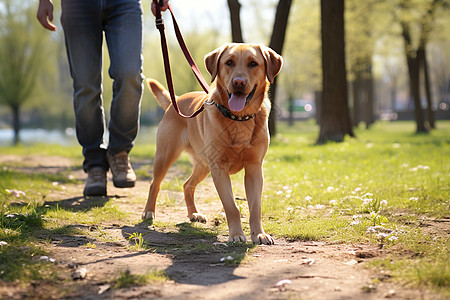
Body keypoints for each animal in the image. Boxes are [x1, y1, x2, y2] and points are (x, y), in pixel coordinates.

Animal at [142, 42, 282, 244]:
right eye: (229, 62)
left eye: (253, 63)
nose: (238, 82)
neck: (239, 118)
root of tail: (175, 101)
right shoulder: (219, 169)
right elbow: (231, 206)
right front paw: (236, 234)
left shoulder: (254, 168)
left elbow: (255, 207)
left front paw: (259, 234)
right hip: (166, 156)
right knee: (155, 183)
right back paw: (148, 211)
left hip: (203, 165)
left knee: (187, 185)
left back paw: (194, 213)